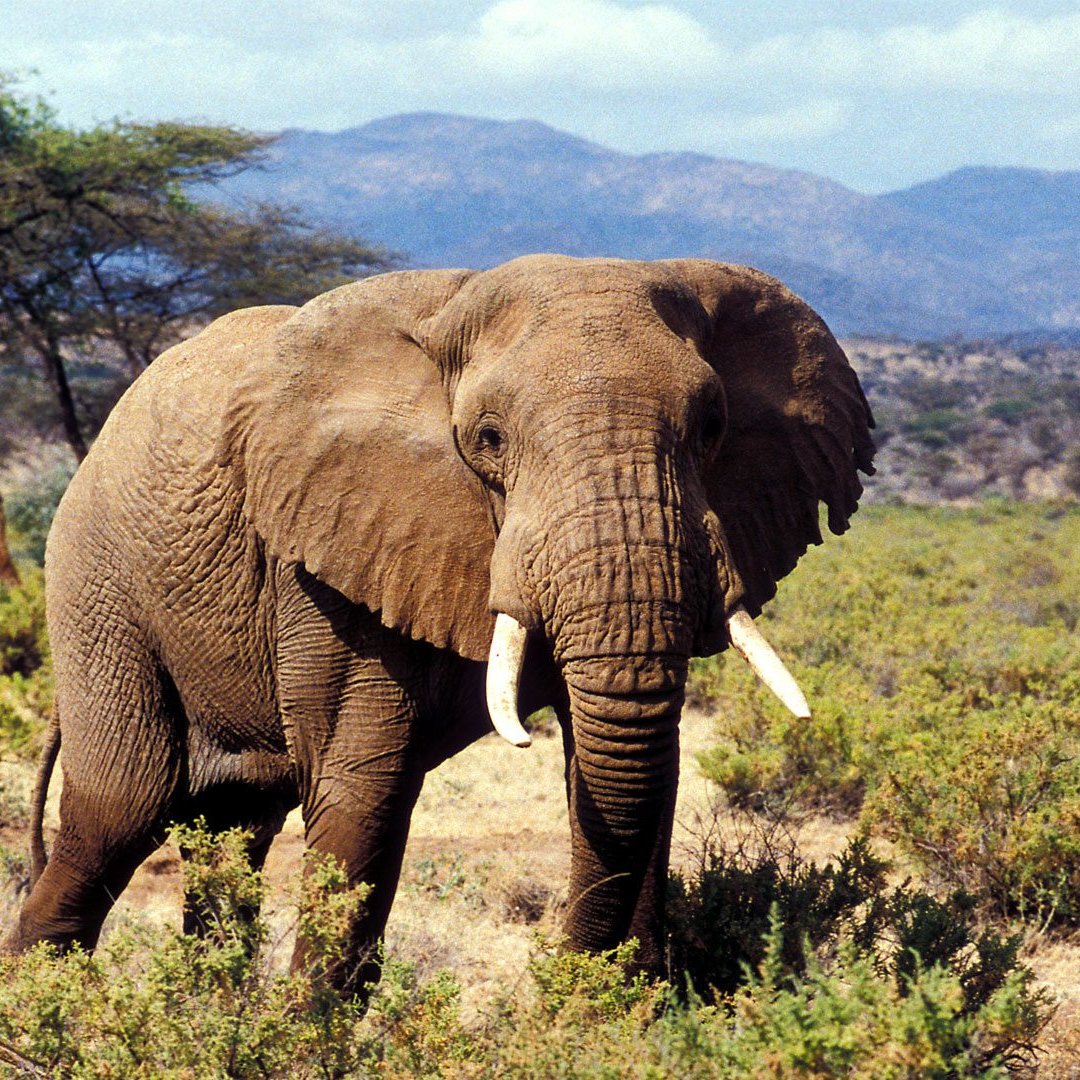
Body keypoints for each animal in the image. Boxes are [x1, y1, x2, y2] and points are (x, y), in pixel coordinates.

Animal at [7, 255, 874, 991]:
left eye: (711, 428)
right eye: (487, 439)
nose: (556, 976)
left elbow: (637, 768)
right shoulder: (331, 554)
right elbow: (366, 790)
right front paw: (307, 1043)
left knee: (230, 833)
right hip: (95, 578)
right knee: (120, 813)